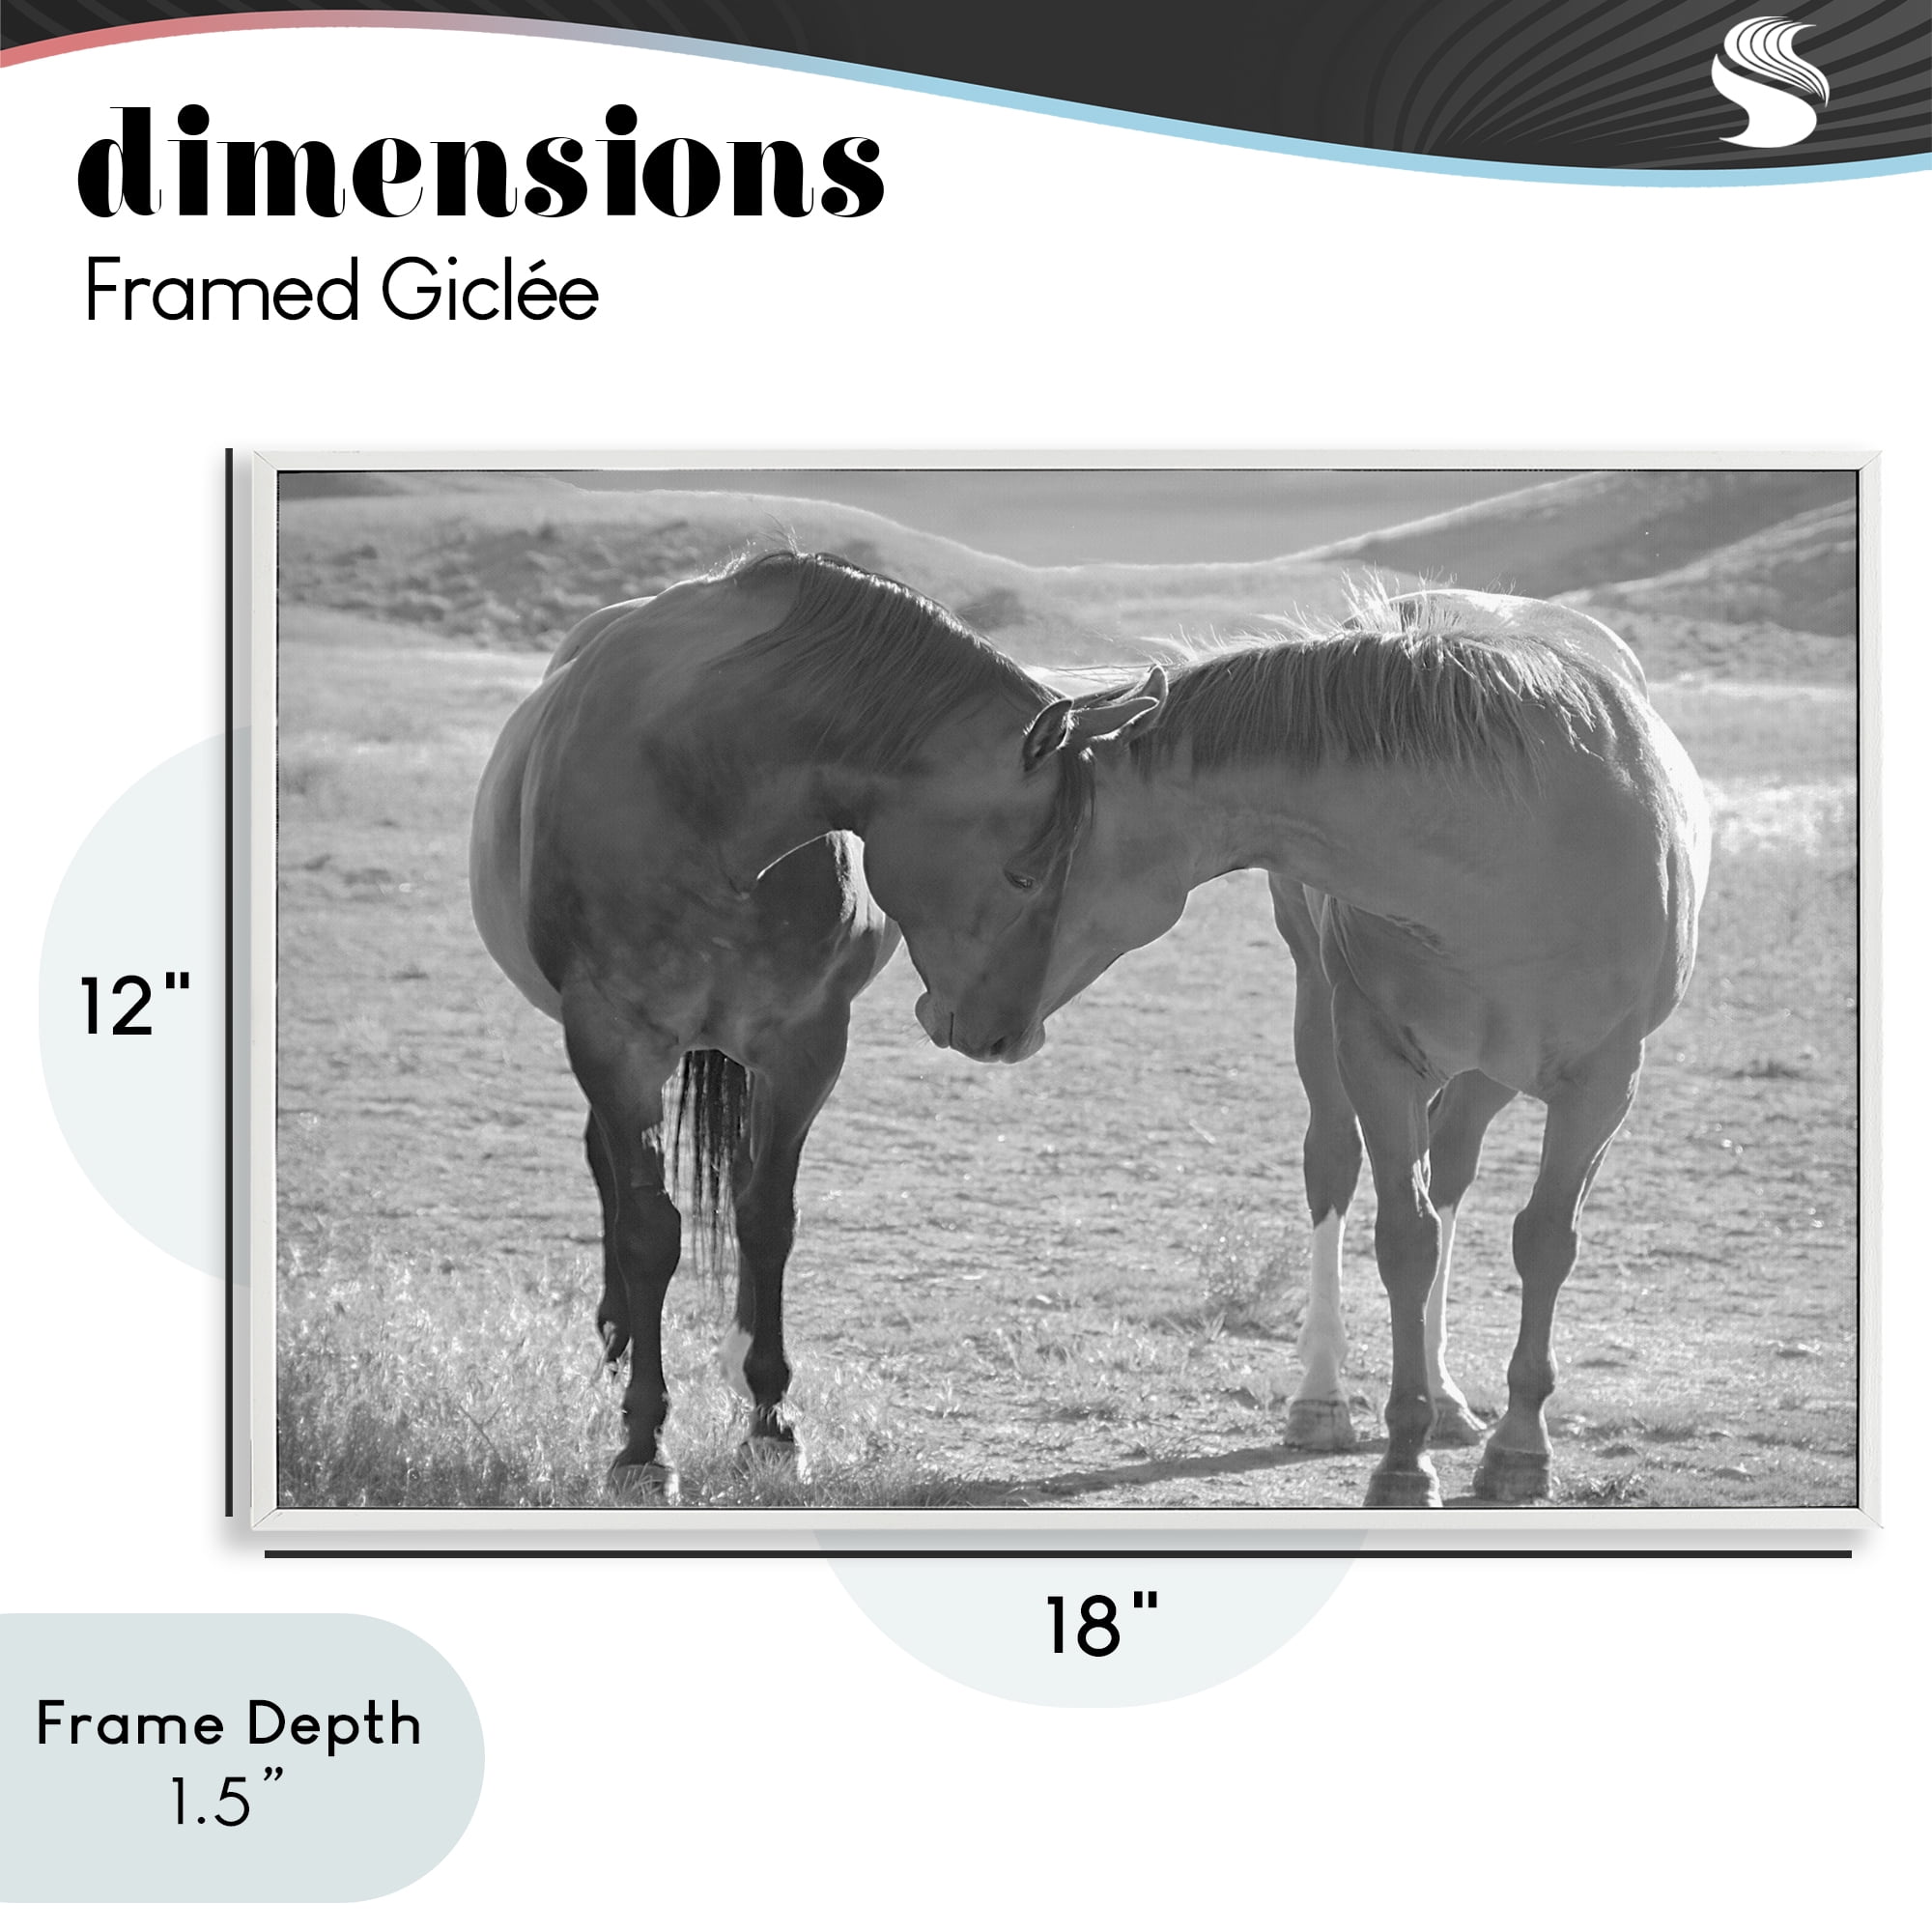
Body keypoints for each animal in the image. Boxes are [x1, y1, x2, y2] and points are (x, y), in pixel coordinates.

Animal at [470, 548, 1148, 1500]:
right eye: (1023, 874)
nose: (1010, 1036)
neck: (703, 787)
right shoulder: (612, 1039)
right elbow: (649, 1230)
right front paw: (643, 1442)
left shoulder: (804, 1045)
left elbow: (767, 1217)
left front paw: (770, 1418)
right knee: (607, 1168)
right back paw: (618, 1334)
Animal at [1017, 586, 1710, 1508]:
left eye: (1032, 864)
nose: (970, 1014)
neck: (1508, 846)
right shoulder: (1376, 1055)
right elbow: (1403, 1240)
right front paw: (1403, 1458)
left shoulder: (1604, 1082)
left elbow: (1544, 1241)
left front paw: (1520, 1446)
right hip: (1322, 1010)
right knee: (1333, 1167)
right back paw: (1322, 1398)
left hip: (1489, 1070)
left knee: (1452, 1169)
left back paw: (1451, 1398)